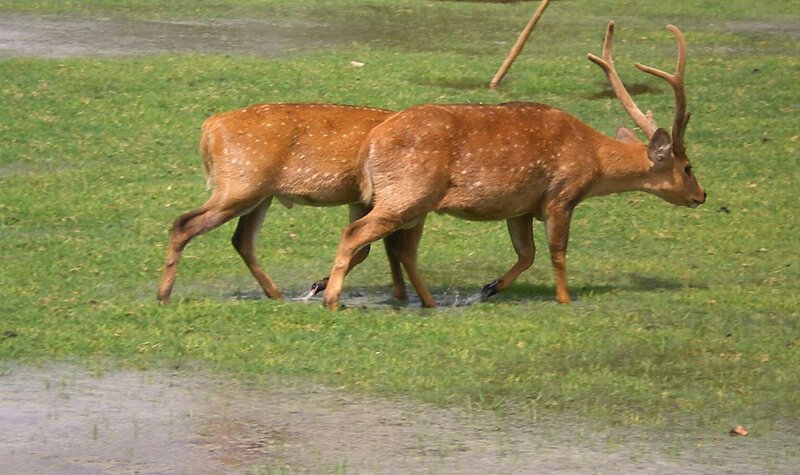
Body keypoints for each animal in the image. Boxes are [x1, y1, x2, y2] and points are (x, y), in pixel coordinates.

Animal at [157, 103, 434, 307]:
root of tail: (210, 128)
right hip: (240, 185)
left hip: (260, 194)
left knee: (241, 239)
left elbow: (377, 248)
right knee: (184, 223)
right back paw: (164, 295)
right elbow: (379, 247)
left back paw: (275, 294)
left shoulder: (360, 199)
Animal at [321, 22, 706, 310]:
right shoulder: (561, 194)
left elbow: (527, 253)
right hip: (408, 192)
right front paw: (564, 298)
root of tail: (371, 142)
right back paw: (332, 298)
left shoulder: (520, 206)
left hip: (410, 200)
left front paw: (490, 287)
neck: (594, 160)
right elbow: (557, 252)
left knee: (394, 246)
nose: (701, 195)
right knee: (355, 233)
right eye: (687, 167)